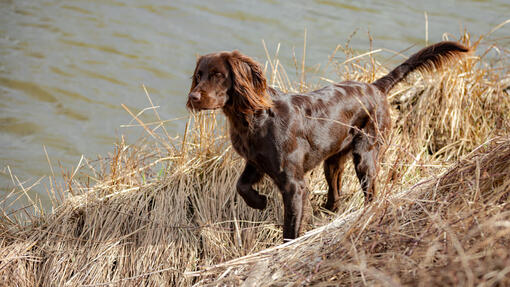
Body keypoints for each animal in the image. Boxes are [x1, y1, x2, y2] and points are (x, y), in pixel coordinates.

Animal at [187, 42, 470, 241]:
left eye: (218, 75)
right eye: (199, 75)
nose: (193, 97)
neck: (252, 118)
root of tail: (375, 87)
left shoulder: (294, 185)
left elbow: (291, 227)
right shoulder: (256, 163)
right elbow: (241, 186)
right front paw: (260, 202)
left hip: (366, 154)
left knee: (370, 193)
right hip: (332, 161)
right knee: (336, 194)